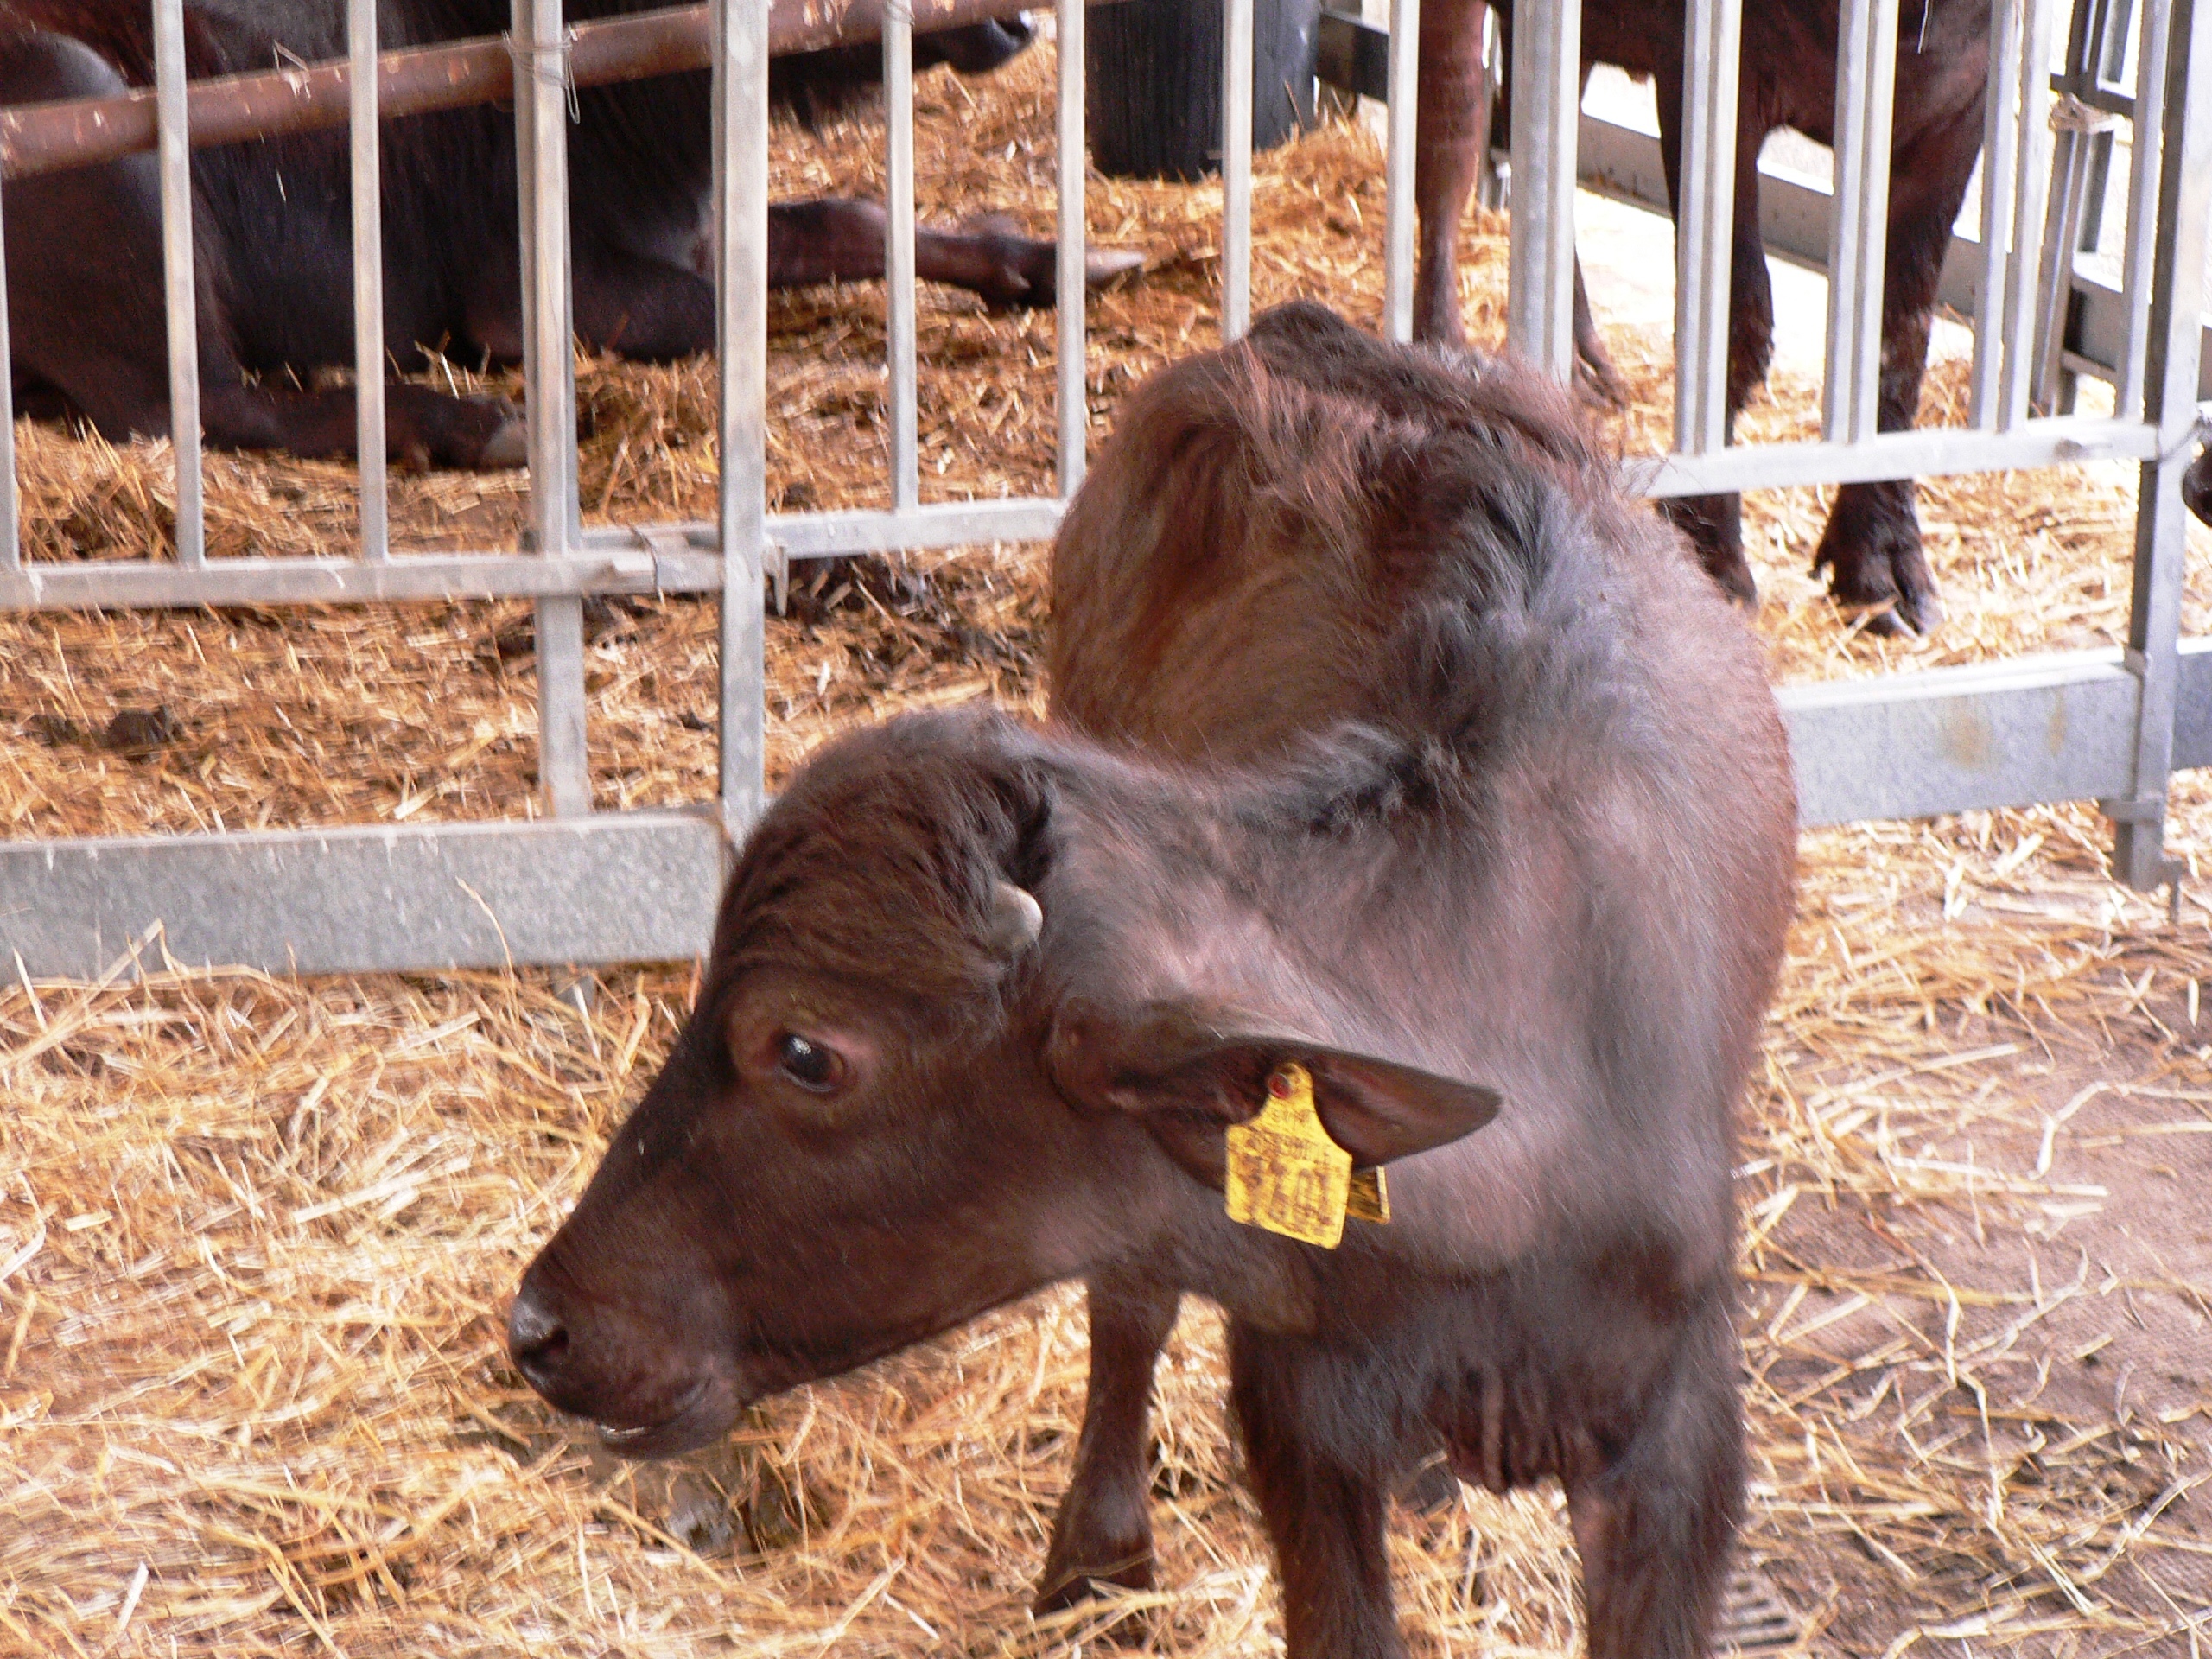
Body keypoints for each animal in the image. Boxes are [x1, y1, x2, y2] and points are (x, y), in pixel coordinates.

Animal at [0, 3, 1132, 471]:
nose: (1018, 20)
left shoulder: (680, 222)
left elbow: (850, 219)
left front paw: (1073, 260)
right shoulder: (531, 294)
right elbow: (729, 314)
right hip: (85, 102)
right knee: (194, 407)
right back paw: (461, 426)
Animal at [512, 302, 1796, 1659]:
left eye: (806, 1052)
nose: (540, 1327)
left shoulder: (1679, 1454)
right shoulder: (1302, 1416)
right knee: (1128, 1303)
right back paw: (1097, 1551)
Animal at [1415, 0, 2008, 637]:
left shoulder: (1962, 106)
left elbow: (1900, 330)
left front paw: (1883, 565)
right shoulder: (1703, 76)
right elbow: (1735, 311)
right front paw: (1710, 553)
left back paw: (1579, 370)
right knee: (1451, 129)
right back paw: (1444, 349)